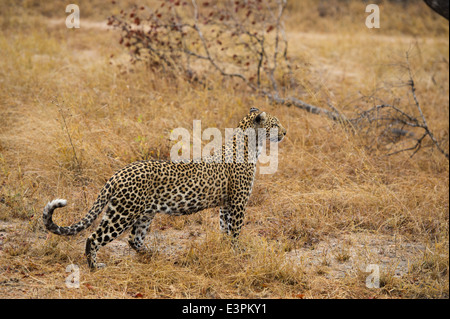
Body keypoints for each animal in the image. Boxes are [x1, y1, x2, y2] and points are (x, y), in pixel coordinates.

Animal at [43, 108, 288, 270]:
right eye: (275, 124)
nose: (285, 132)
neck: (251, 146)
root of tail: (117, 174)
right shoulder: (238, 203)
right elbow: (235, 230)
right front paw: (237, 252)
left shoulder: (226, 205)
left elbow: (224, 230)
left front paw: (226, 249)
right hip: (123, 212)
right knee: (94, 237)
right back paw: (95, 266)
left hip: (144, 213)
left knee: (134, 239)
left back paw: (154, 255)